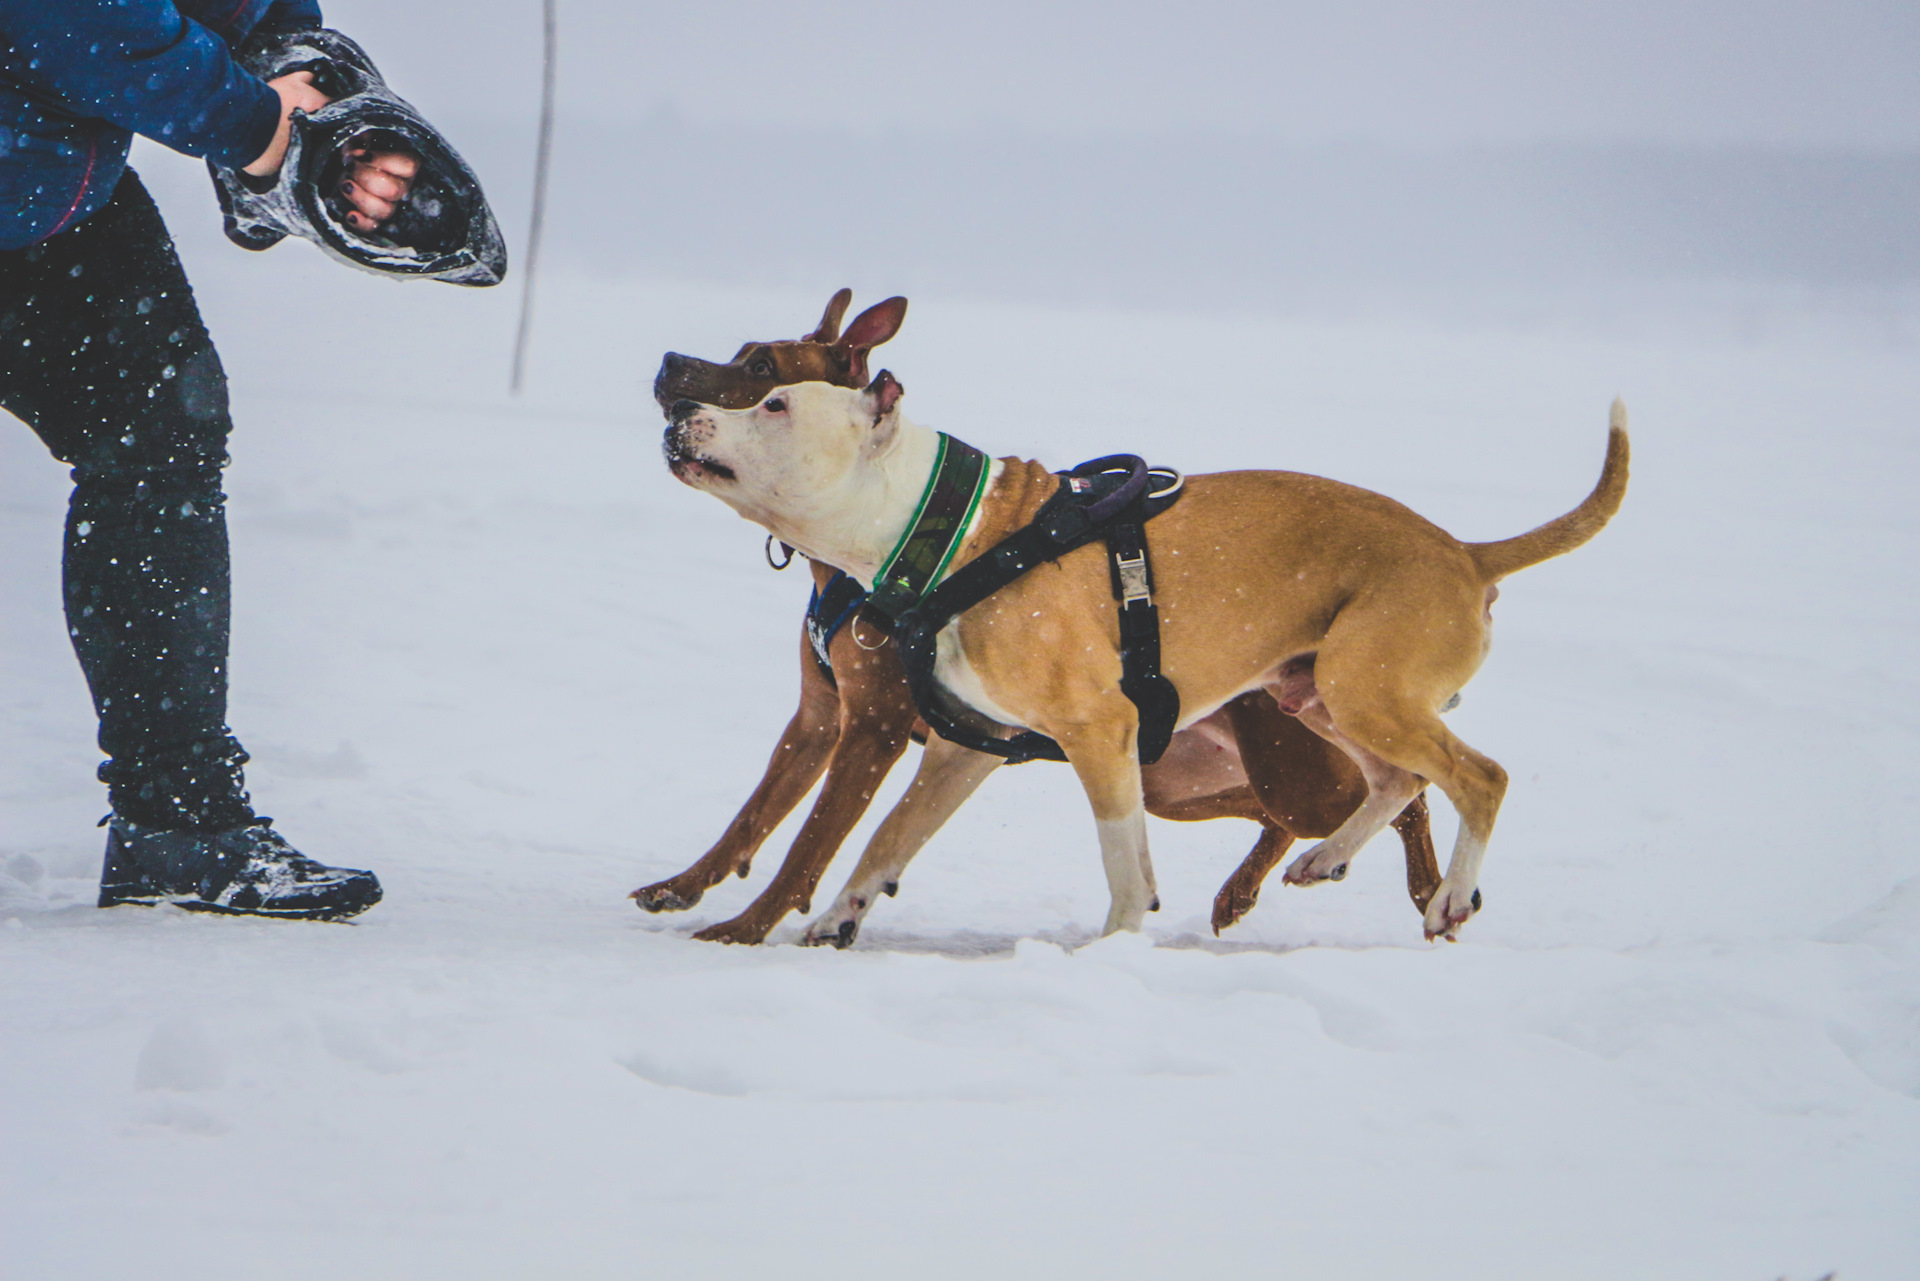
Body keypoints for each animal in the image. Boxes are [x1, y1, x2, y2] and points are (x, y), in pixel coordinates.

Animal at [633, 295, 1443, 948]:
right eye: (747, 356)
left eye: (764, 374)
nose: (672, 376)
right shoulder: (821, 718)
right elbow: (756, 817)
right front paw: (683, 887)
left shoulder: (873, 728)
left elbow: (809, 843)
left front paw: (743, 930)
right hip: (1179, 776)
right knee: (1319, 802)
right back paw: (1253, 891)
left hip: (1290, 766)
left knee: (1404, 791)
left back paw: (1420, 891)